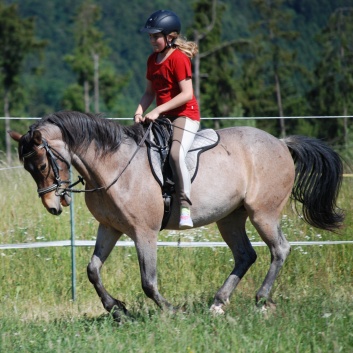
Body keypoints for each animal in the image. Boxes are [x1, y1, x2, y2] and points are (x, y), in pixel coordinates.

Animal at [8, 110, 342, 320]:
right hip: (230, 217)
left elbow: (148, 281)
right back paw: (218, 304)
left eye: (41, 165)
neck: (114, 166)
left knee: (279, 249)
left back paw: (260, 300)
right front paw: (116, 310)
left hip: (264, 213)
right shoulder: (110, 228)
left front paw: (170, 312)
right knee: (246, 255)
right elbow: (92, 270)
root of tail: (282, 143)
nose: (53, 206)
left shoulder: (144, 233)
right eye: (29, 169)